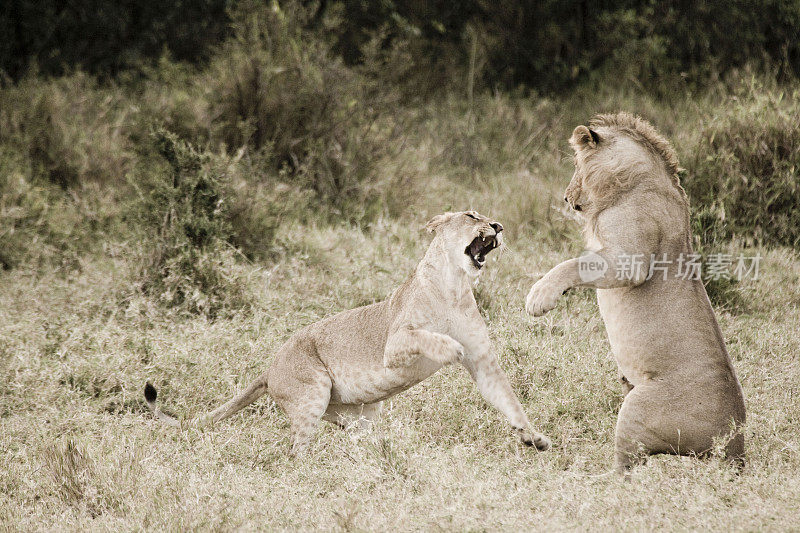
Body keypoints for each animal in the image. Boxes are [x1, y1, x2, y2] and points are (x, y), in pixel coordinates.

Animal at [145, 209, 552, 454]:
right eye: (472, 216)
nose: (498, 227)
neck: (454, 285)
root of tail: (269, 369)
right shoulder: (394, 343)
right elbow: (428, 337)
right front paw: (450, 348)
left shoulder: (483, 361)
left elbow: (508, 400)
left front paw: (533, 437)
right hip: (313, 390)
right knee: (296, 452)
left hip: (357, 413)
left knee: (352, 432)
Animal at [524, 113, 744, 474]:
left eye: (576, 164)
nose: (567, 198)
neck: (631, 182)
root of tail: (734, 444)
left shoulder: (631, 259)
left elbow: (573, 264)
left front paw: (540, 296)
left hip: (637, 407)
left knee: (626, 468)